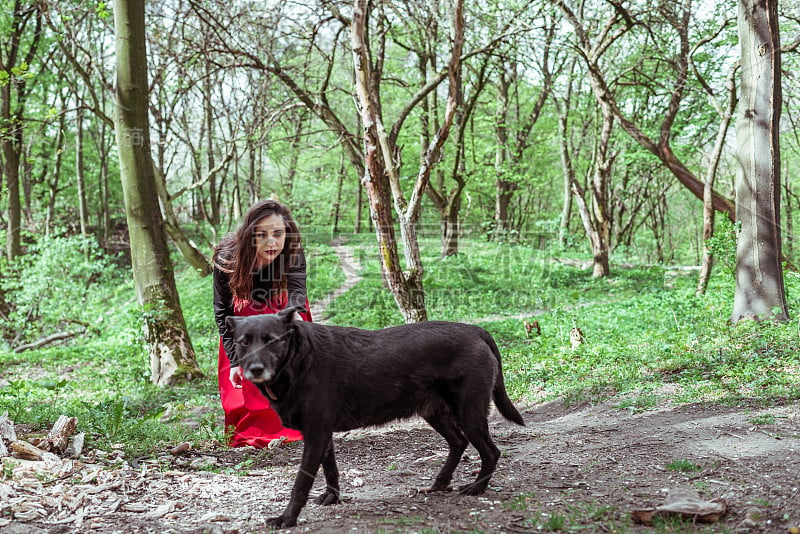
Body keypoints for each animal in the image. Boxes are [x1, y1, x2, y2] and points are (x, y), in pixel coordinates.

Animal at [225, 308, 524, 528]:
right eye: (243, 342)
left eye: (272, 340)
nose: (255, 369)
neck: (298, 359)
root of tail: (476, 330)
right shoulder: (322, 434)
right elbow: (330, 469)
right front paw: (332, 497)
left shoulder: (316, 433)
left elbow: (301, 483)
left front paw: (287, 519)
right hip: (435, 413)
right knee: (458, 443)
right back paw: (440, 483)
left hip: (469, 412)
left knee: (491, 451)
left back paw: (476, 488)